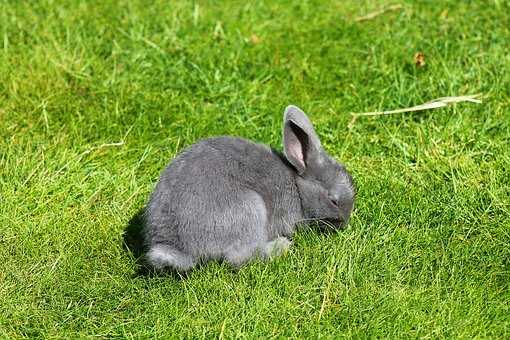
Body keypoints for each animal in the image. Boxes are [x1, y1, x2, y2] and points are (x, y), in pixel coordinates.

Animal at [143, 105, 354, 272]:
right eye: (333, 200)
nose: (344, 224)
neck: (298, 186)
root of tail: (176, 246)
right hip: (251, 208)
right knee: (240, 257)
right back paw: (281, 246)